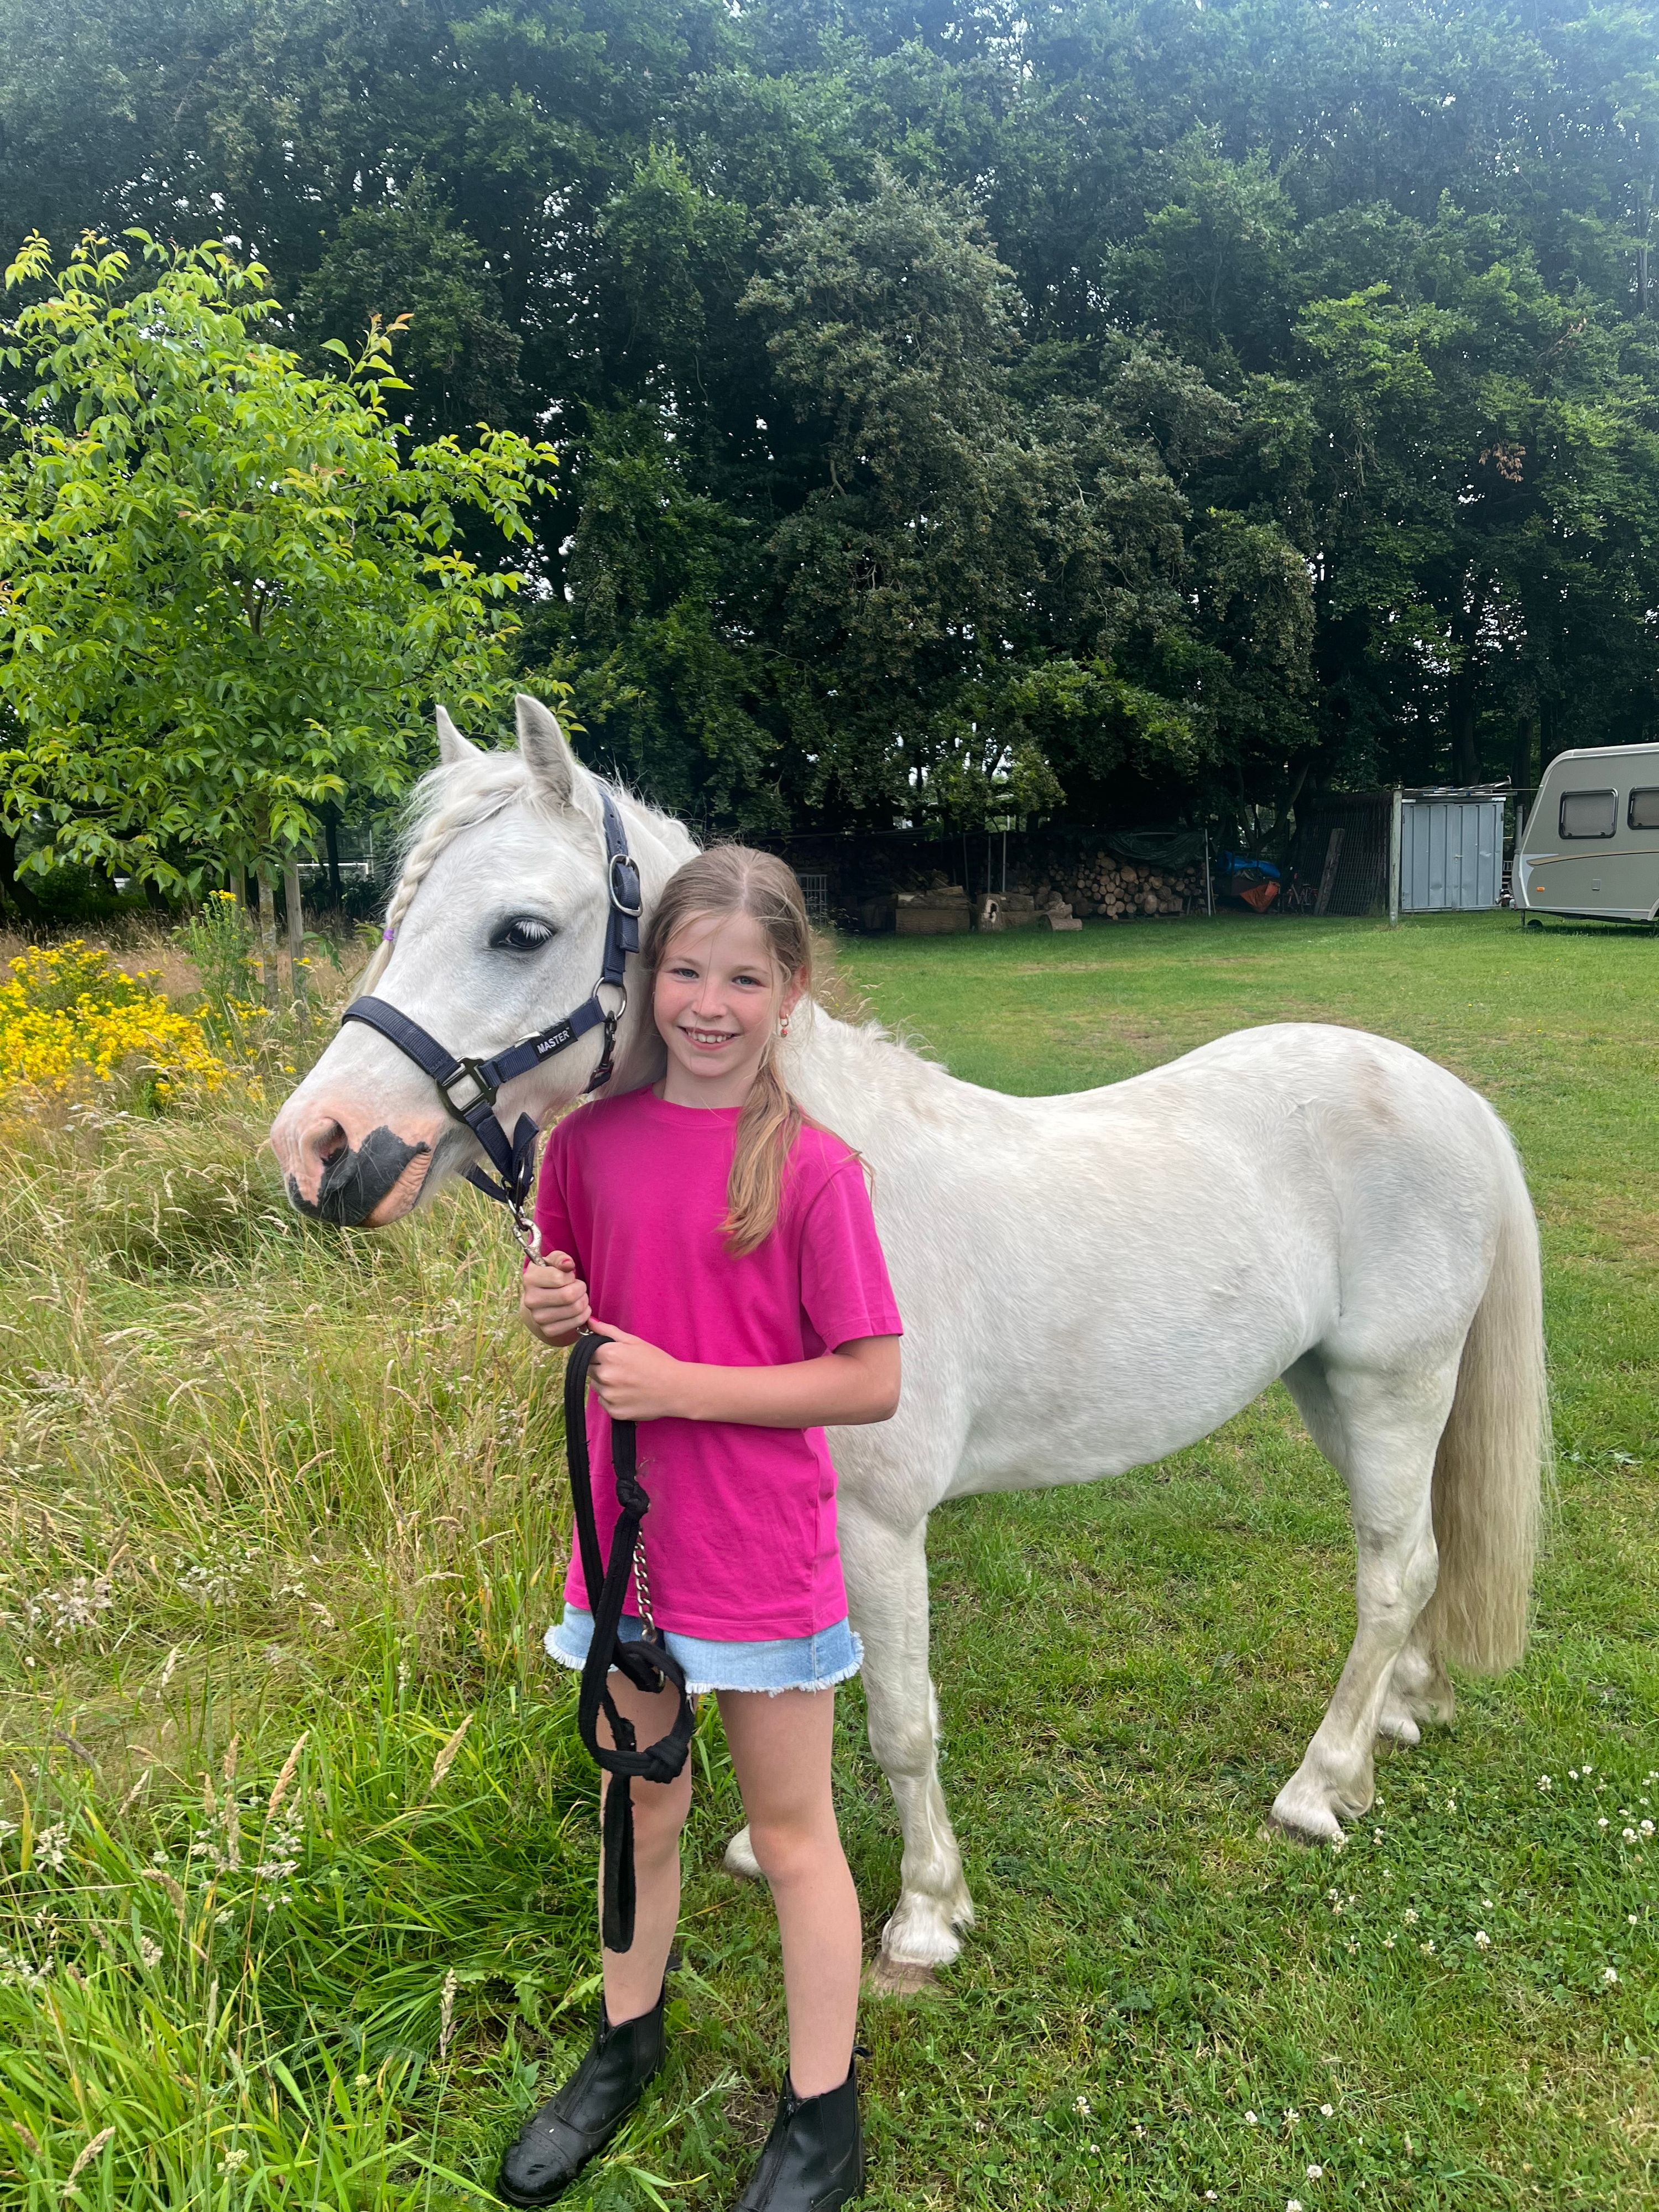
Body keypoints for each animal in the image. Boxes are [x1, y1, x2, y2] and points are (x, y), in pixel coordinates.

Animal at [270, 696, 1548, 1983]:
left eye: (520, 930)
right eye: (395, 916)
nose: (321, 1149)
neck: (813, 1176)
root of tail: (1453, 1097)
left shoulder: (880, 1527)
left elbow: (897, 1720)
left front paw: (927, 1910)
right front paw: (765, 1843)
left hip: (1392, 1385)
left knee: (1395, 1570)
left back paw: (1319, 1786)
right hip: (1329, 1389)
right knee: (1423, 1552)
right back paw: (1400, 1715)